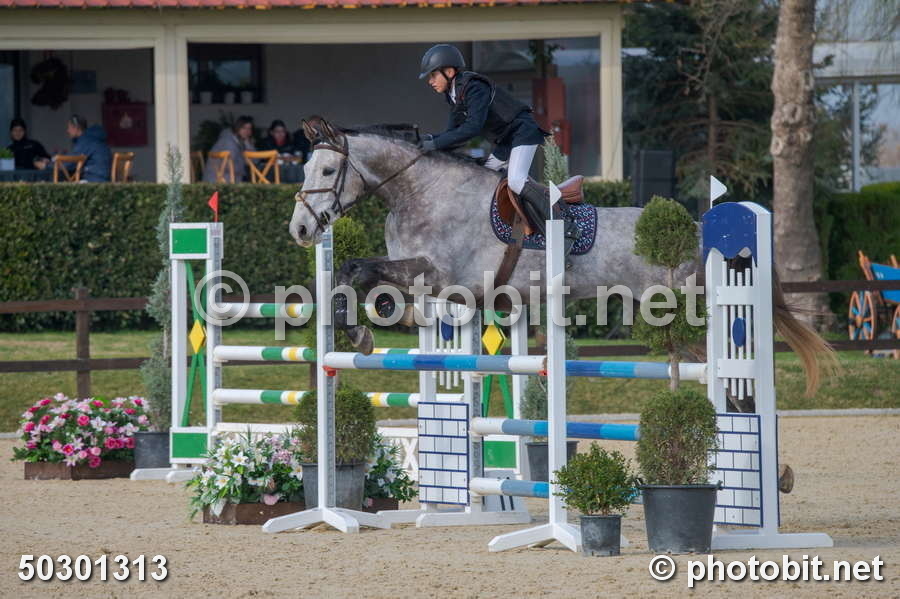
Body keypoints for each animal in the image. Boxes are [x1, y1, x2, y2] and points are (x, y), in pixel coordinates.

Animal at [289, 116, 833, 398]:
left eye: (330, 169)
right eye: (306, 167)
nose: (300, 229)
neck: (419, 192)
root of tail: (702, 230)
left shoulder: (449, 277)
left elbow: (363, 269)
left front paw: (360, 332)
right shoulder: (427, 281)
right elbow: (357, 272)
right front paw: (361, 328)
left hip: (684, 314)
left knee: (727, 373)